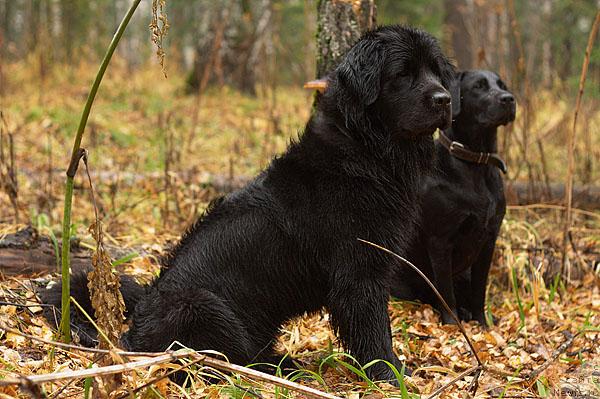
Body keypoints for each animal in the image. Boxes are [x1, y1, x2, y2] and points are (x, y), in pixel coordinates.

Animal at [43, 25, 454, 384]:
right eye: (402, 74)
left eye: (437, 72)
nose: (444, 99)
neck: (365, 151)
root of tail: (133, 328)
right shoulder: (359, 273)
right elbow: (374, 331)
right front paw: (391, 375)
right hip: (199, 305)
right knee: (227, 359)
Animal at [390, 69, 516, 324]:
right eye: (478, 86)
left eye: (502, 85)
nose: (509, 99)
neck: (476, 164)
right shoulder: (440, 240)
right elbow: (445, 292)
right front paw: (451, 325)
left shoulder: (489, 239)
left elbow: (480, 290)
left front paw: (483, 323)